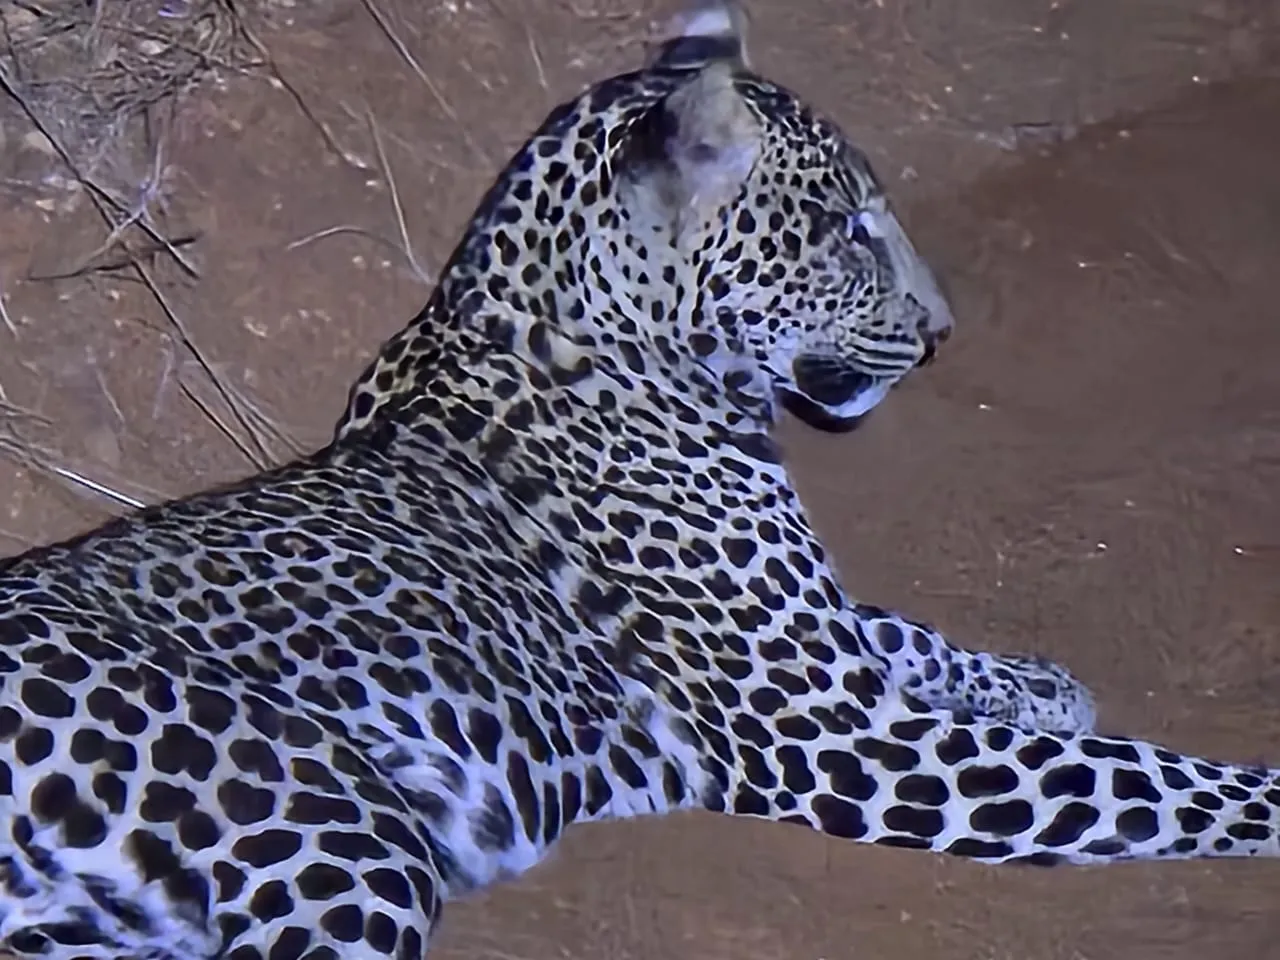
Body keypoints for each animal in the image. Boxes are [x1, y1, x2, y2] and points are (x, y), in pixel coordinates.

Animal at [0, 3, 1276, 959]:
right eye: (844, 229)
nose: (940, 335)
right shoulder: (831, 735)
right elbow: (1143, 779)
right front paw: (1257, 794)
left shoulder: (817, 657)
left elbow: (895, 628)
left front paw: (1033, 681)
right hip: (336, 821)